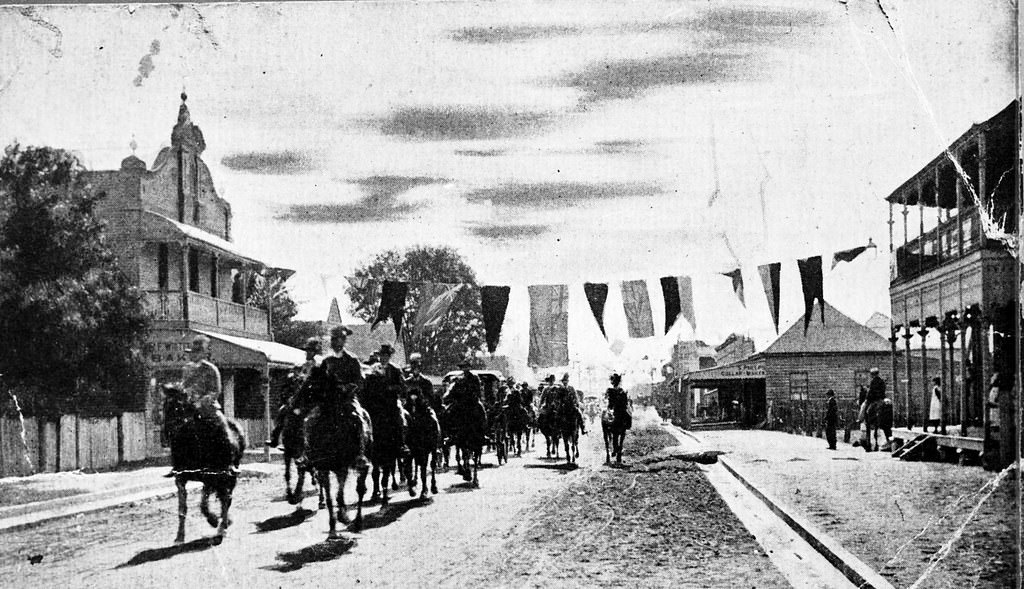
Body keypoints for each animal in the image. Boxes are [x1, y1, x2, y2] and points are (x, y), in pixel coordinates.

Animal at [161, 385, 245, 544]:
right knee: (223, 498)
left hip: (229, 475)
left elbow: (204, 505)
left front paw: (214, 521)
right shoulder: (181, 479)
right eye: (165, 406)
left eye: (179, 406)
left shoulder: (210, 477)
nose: (166, 433)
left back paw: (222, 527)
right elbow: (183, 509)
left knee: (227, 498)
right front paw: (179, 536)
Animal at [299, 368, 372, 540]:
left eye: (311, 384)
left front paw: (354, 522)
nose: (294, 402)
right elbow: (330, 498)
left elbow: (355, 490)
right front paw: (332, 529)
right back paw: (342, 516)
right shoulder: (324, 468)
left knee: (354, 487)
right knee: (340, 491)